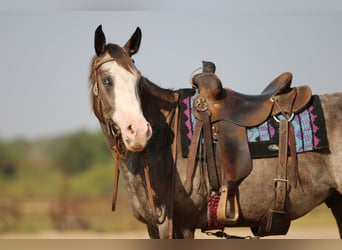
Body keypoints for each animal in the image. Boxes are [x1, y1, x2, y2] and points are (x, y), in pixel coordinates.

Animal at [89, 24, 342, 238]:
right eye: (106, 80)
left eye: (138, 82)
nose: (139, 132)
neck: (162, 142)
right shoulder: (155, 227)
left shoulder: (180, 225)